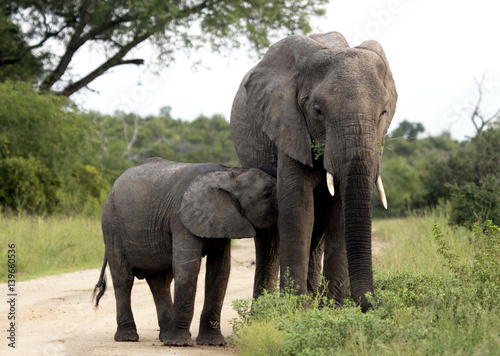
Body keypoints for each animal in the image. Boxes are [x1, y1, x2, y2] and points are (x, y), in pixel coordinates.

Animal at [91, 157, 278, 346]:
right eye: (267, 194)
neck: (229, 174)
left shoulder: (223, 221)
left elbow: (220, 270)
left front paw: (212, 342)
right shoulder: (180, 219)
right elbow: (188, 268)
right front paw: (178, 343)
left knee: (160, 281)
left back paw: (164, 336)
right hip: (111, 226)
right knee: (124, 278)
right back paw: (128, 338)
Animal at [231, 32, 398, 310]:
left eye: (383, 112)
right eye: (318, 110)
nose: (373, 304)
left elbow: (338, 213)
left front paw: (333, 309)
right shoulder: (288, 124)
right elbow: (298, 208)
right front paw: (297, 309)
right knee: (268, 239)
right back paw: (265, 312)